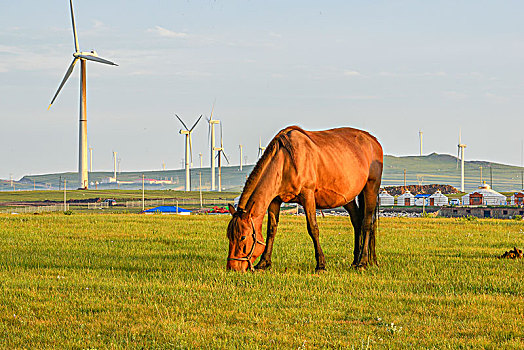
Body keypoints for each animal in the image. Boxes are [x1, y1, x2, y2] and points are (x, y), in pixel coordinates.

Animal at [227, 126, 382, 274]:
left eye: (243, 237)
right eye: (229, 235)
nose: (232, 267)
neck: (285, 162)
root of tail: (373, 141)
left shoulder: (307, 196)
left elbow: (313, 228)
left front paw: (321, 265)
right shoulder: (274, 200)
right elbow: (271, 230)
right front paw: (264, 263)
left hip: (371, 188)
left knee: (367, 223)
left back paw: (362, 262)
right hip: (348, 198)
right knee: (357, 222)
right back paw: (356, 261)